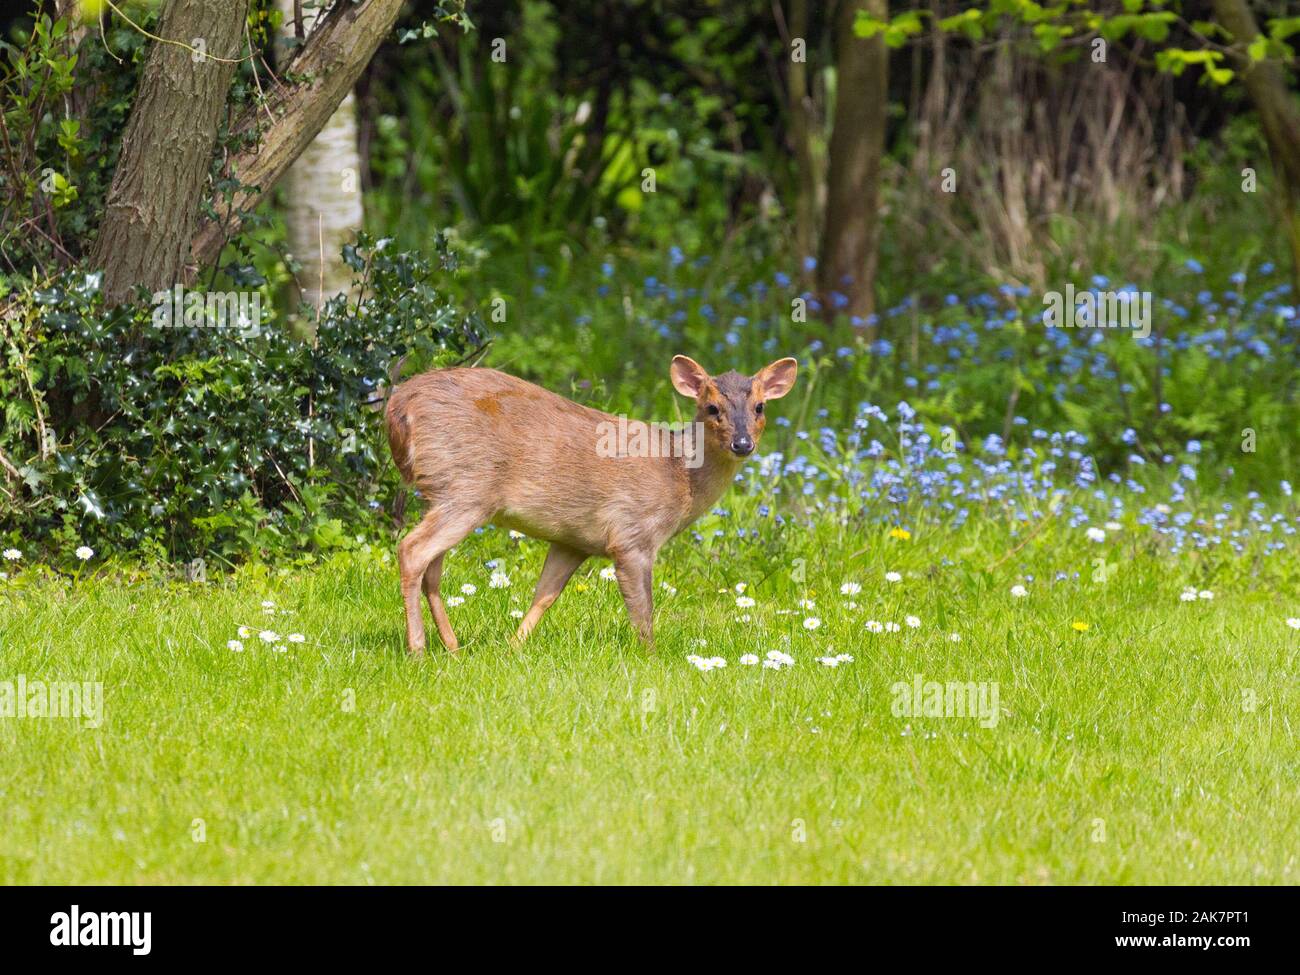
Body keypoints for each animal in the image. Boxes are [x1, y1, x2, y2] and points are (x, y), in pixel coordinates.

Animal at [379, 353, 795, 657]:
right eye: (711, 408)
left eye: (760, 407)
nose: (742, 443)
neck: (678, 473)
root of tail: (398, 407)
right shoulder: (632, 534)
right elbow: (643, 611)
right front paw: (651, 658)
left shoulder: (572, 541)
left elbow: (544, 595)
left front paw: (512, 648)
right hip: (467, 488)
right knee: (412, 550)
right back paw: (418, 650)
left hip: (443, 493)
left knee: (432, 567)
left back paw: (452, 647)